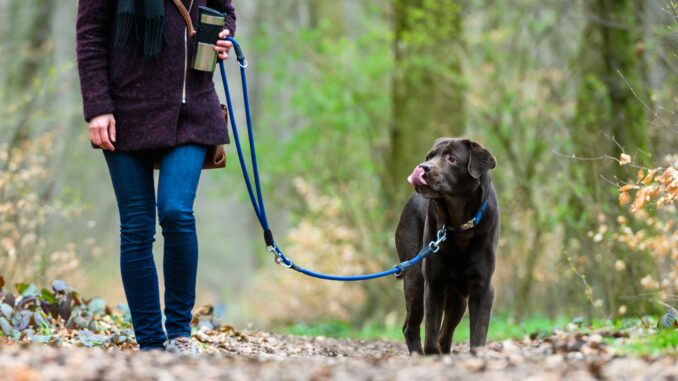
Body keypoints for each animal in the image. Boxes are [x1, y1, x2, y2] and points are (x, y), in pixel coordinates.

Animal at [396, 138, 502, 354]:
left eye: (452, 159)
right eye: (429, 156)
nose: (423, 167)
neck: (460, 224)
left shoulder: (482, 287)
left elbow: (478, 335)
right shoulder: (433, 283)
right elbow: (430, 335)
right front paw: (431, 354)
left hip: (458, 298)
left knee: (445, 333)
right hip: (415, 279)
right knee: (411, 327)